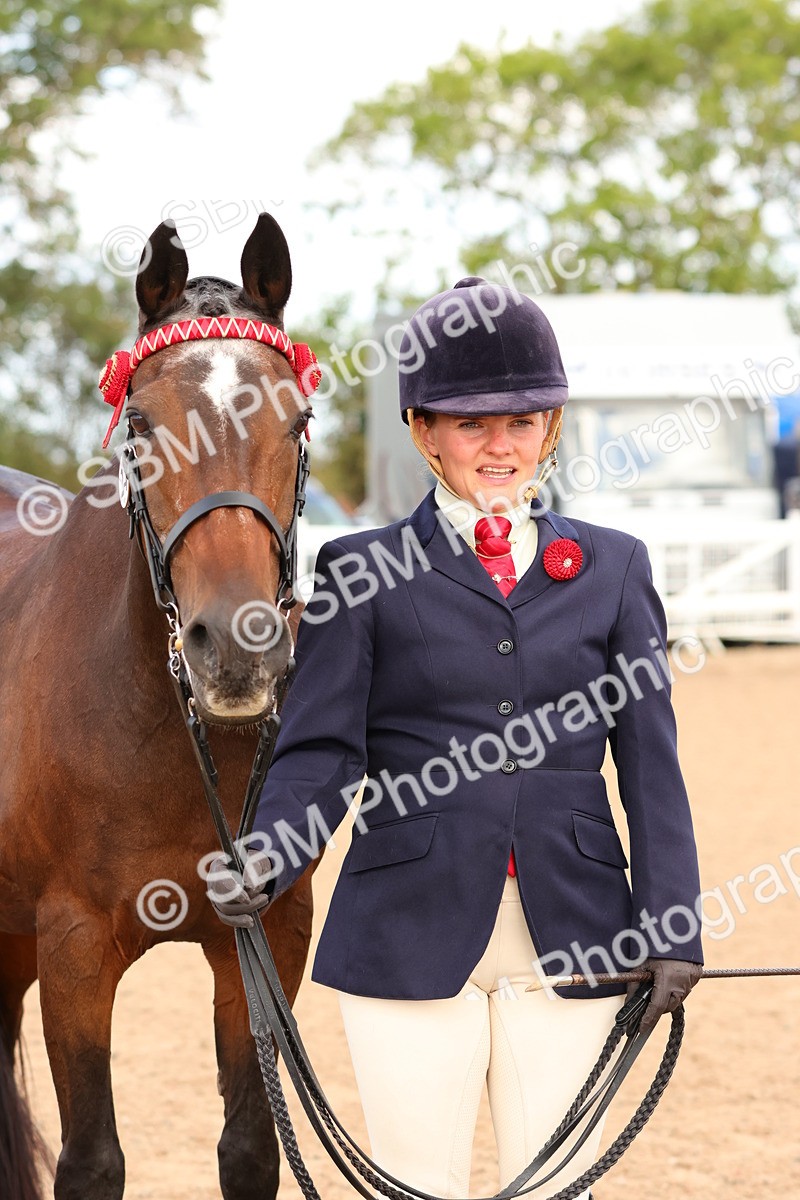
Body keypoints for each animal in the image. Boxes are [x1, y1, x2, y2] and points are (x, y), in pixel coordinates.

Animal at [0, 214, 320, 1199]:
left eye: (298, 422)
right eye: (139, 425)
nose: (240, 647)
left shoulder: (265, 934)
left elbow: (251, 1148)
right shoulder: (72, 951)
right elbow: (92, 1161)